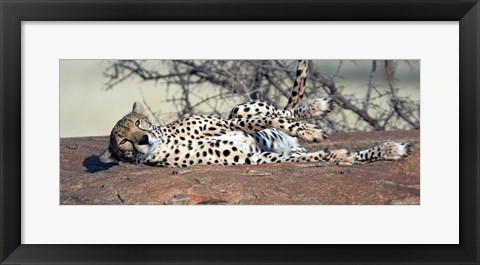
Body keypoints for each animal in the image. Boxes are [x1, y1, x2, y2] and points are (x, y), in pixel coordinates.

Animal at [98, 59, 412, 167]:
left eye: (139, 122)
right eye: (123, 142)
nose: (142, 140)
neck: (165, 140)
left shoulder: (227, 121)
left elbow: (266, 119)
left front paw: (311, 130)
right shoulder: (256, 157)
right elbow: (313, 156)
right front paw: (337, 156)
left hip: (239, 106)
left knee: (282, 110)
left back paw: (317, 108)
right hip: (288, 148)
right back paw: (390, 149)